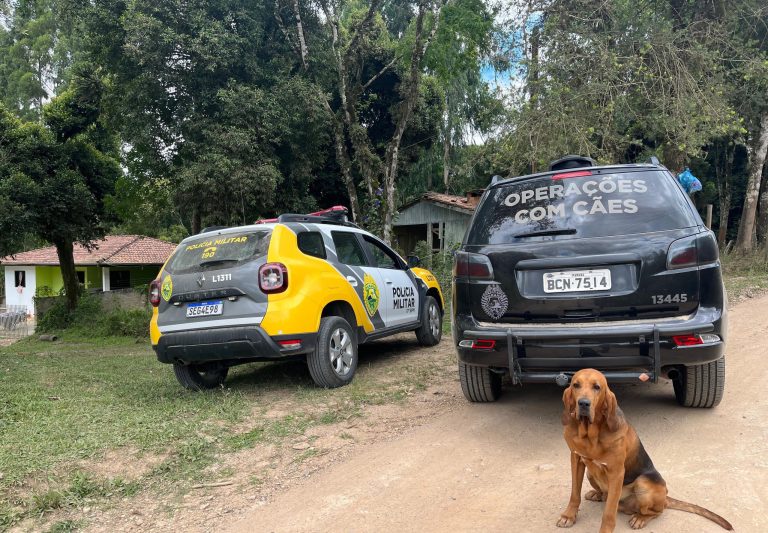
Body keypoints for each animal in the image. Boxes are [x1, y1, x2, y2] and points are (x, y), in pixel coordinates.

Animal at [560, 368, 732, 528]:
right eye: (575, 385)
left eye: (597, 387)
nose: (583, 403)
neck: (589, 435)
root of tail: (666, 496)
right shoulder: (576, 459)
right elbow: (574, 494)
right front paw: (569, 516)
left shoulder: (616, 472)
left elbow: (608, 514)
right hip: (590, 474)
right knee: (606, 496)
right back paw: (598, 494)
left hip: (643, 484)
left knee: (657, 510)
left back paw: (640, 518)